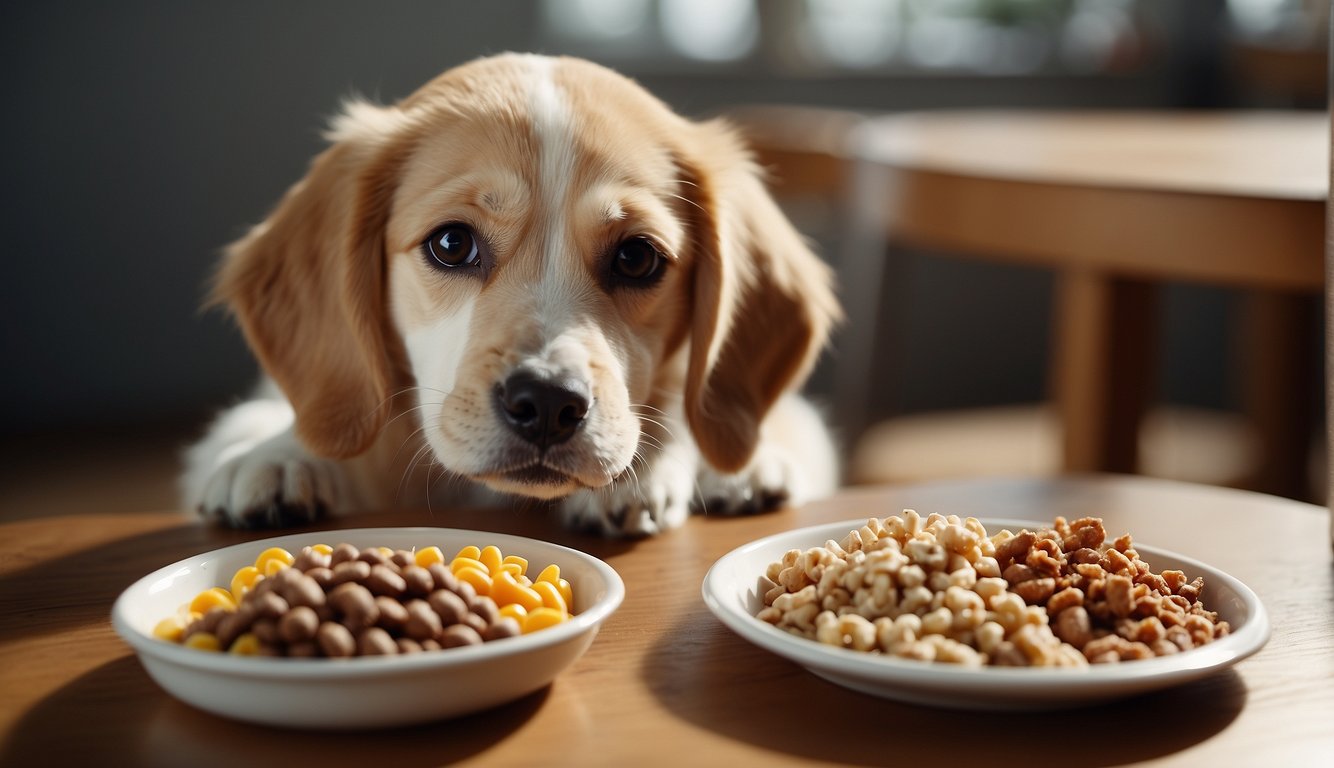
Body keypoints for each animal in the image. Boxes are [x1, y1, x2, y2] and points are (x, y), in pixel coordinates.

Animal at [182, 54, 837, 536]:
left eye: (637, 257)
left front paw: (646, 468)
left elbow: (678, 398)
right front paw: (280, 454)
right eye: (451, 243)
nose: (547, 404)